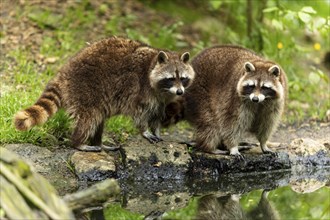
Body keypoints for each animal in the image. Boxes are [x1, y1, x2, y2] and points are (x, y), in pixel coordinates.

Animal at [14, 37, 196, 151]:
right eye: (171, 78)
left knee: (98, 119)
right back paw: (78, 143)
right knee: (89, 118)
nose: (180, 91)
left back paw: (98, 142)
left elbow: (157, 114)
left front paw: (157, 130)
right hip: (85, 89)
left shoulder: (160, 99)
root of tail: (63, 73)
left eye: (183, 78)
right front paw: (144, 130)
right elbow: (140, 113)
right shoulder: (140, 90)